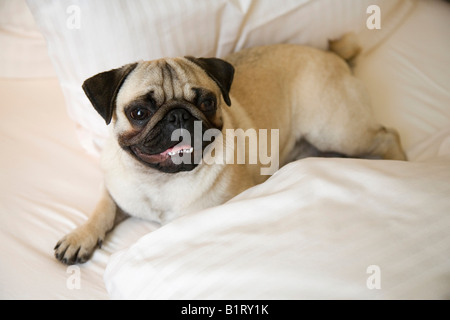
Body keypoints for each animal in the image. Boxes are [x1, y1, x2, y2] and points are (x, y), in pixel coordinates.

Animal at [53, 35, 408, 264]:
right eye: (139, 112)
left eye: (207, 102)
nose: (178, 115)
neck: (160, 181)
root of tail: (334, 57)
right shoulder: (116, 188)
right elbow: (103, 207)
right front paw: (81, 236)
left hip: (335, 130)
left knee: (388, 135)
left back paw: (400, 165)